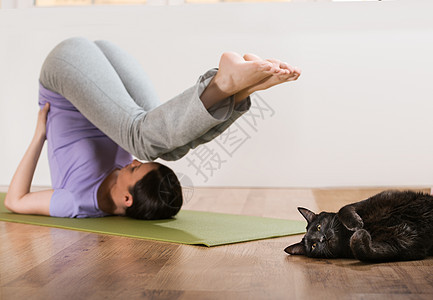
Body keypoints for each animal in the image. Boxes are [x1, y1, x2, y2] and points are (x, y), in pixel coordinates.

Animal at [286, 191, 433, 262]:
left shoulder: (369, 201)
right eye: (314, 246)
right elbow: (363, 252)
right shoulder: (402, 244)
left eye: (318, 227)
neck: (345, 235)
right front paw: (360, 234)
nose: (322, 238)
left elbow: (344, 208)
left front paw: (356, 224)